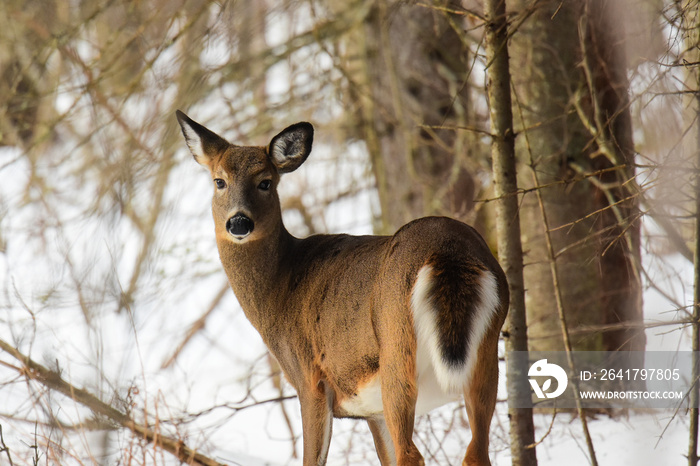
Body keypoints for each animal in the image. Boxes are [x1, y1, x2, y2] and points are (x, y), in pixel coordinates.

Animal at [175, 110, 508, 466]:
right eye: (219, 181)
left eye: (265, 181)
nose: (239, 222)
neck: (279, 288)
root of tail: (447, 250)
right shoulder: (372, 411)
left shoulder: (310, 378)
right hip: (485, 354)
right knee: (476, 450)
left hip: (396, 346)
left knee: (413, 453)